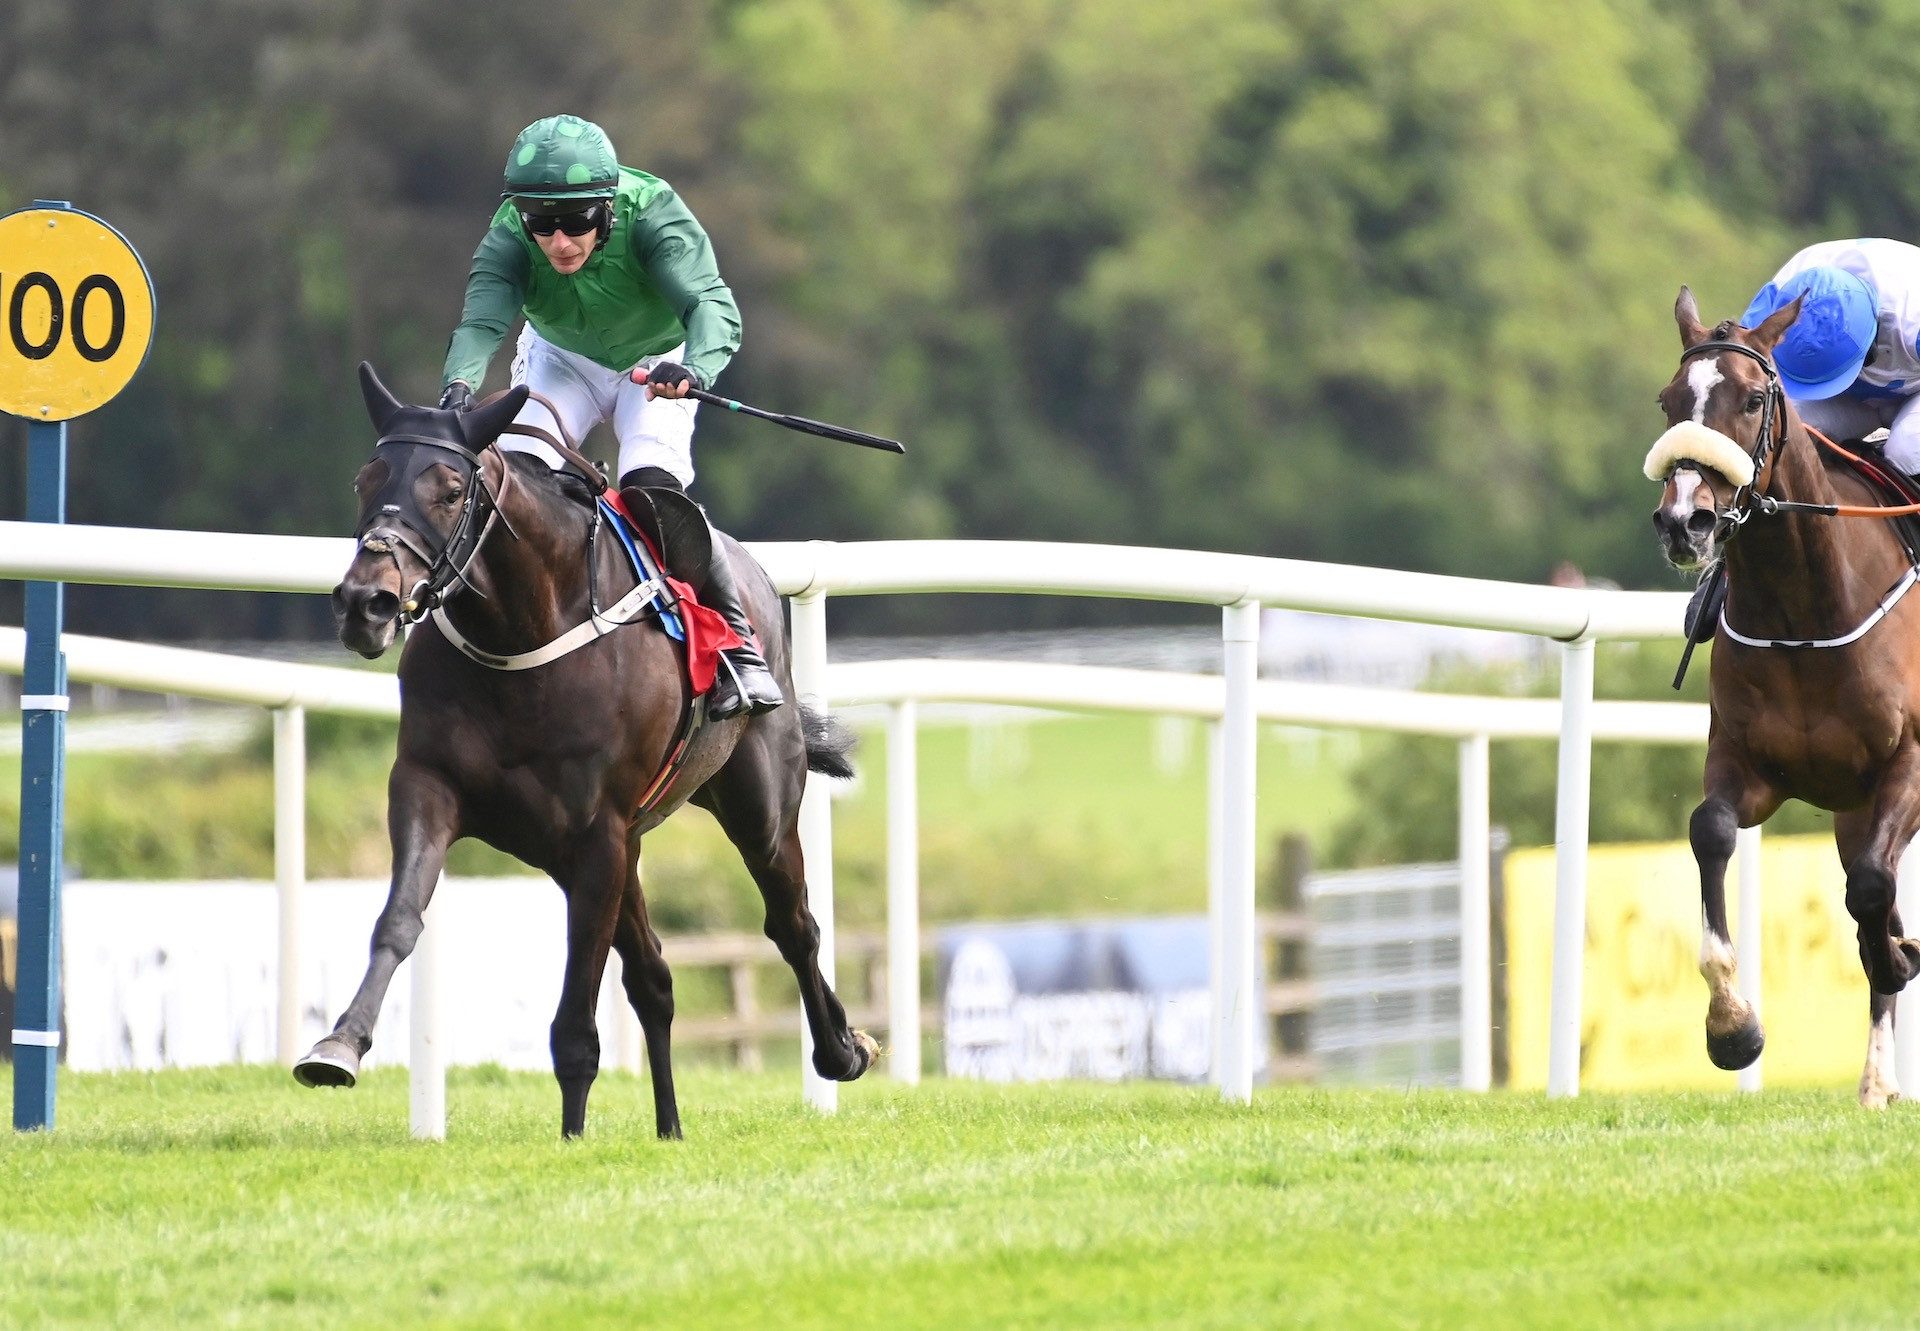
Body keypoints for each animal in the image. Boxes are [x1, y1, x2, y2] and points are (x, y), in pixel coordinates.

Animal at [291, 363, 879, 1129]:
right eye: (367, 478)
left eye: (448, 490)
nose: (367, 603)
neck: (524, 632)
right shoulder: (431, 786)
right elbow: (399, 918)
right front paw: (339, 1044)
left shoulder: (598, 833)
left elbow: (577, 1015)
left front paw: (573, 1137)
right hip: (611, 847)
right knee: (655, 974)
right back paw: (671, 1127)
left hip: (758, 807)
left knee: (793, 924)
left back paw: (841, 1050)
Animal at [1643, 290, 1920, 1113]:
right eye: (1670, 401)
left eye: (1753, 399)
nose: (1686, 521)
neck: (1806, 612)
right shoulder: (1750, 763)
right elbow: (1709, 831)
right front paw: (1732, 1026)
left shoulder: (1909, 761)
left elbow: (1872, 892)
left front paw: (1898, 956)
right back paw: (1878, 1078)